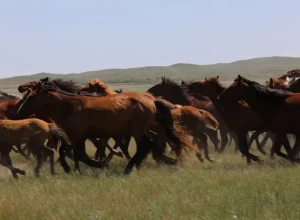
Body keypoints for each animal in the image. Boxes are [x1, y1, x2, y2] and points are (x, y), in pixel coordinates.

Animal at [17, 78, 202, 174]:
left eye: (31, 96)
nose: (18, 112)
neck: (70, 106)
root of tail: (151, 99)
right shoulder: (76, 137)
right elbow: (66, 151)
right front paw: (68, 168)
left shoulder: (79, 137)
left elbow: (80, 155)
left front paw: (100, 165)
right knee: (151, 145)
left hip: (137, 130)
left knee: (146, 145)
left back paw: (129, 168)